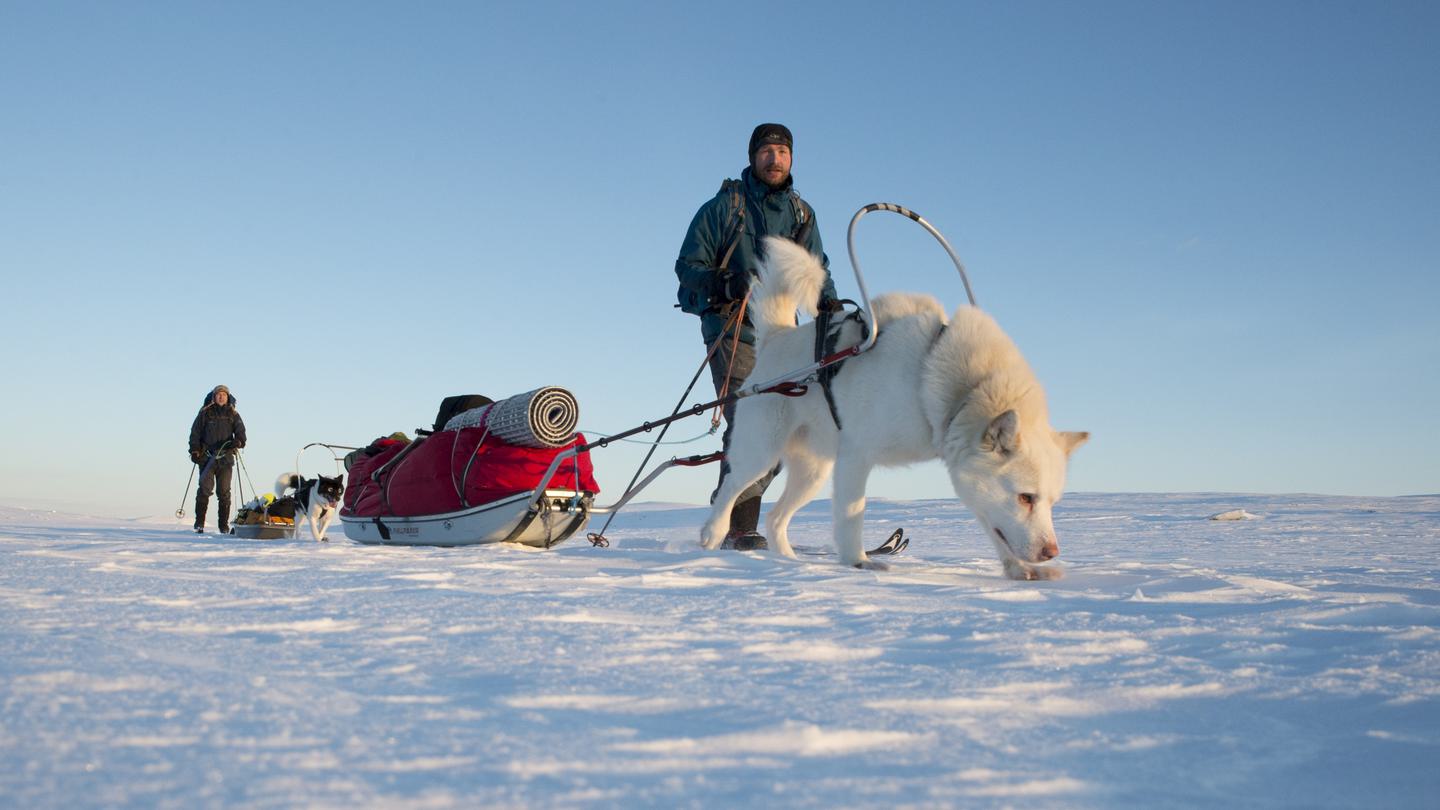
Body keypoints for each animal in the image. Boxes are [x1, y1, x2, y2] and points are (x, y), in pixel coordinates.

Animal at [699, 236, 1088, 576]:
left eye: (1052, 502)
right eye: (1026, 497)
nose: (1051, 551)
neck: (932, 380)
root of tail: (777, 337)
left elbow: (994, 527)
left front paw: (1018, 569)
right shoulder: (856, 456)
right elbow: (852, 515)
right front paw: (858, 562)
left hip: (813, 472)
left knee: (776, 517)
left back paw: (790, 562)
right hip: (761, 454)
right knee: (730, 489)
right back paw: (711, 536)